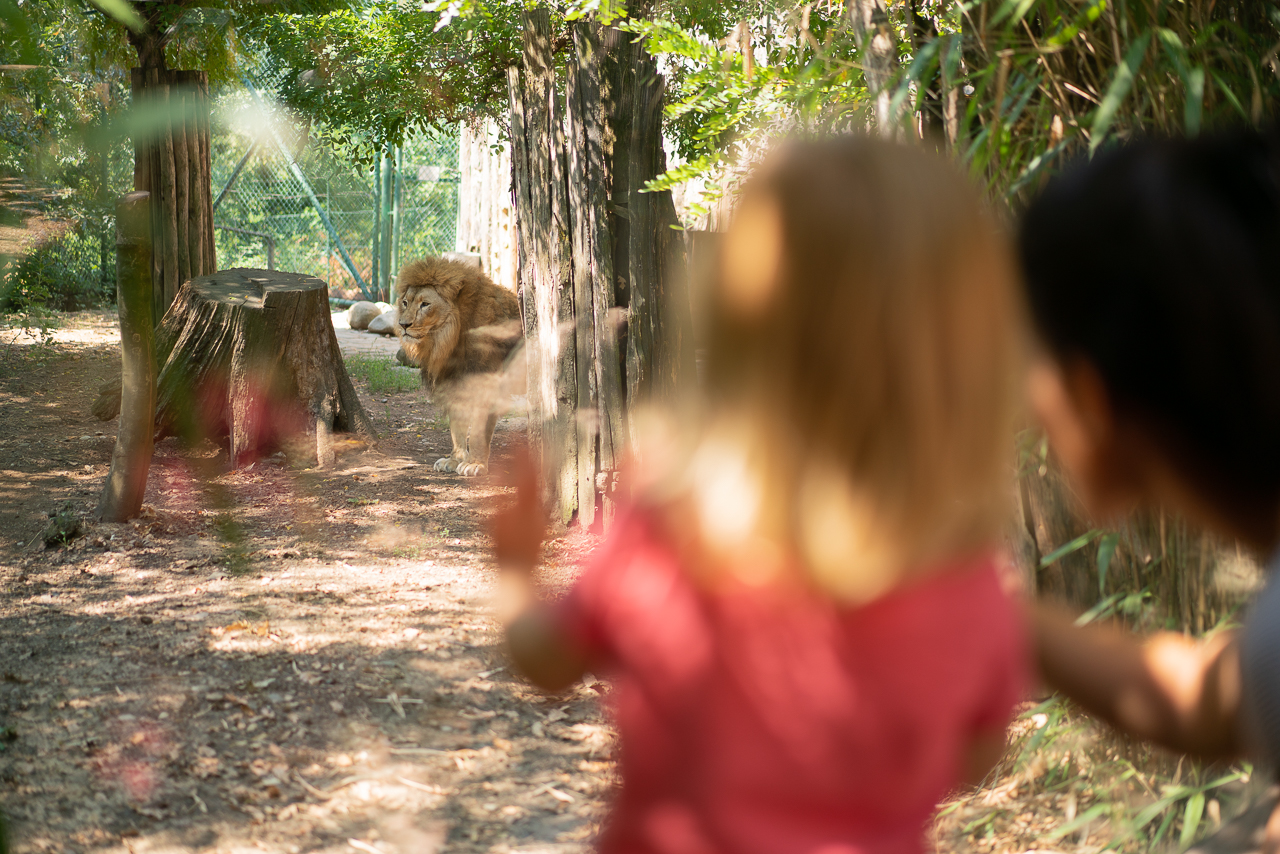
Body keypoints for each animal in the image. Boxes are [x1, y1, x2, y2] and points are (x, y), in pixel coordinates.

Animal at [396, 257, 522, 478]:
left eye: (425, 304)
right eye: (405, 302)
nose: (403, 324)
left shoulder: (487, 386)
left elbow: (478, 431)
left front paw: (476, 464)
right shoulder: (453, 383)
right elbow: (457, 428)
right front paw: (454, 460)